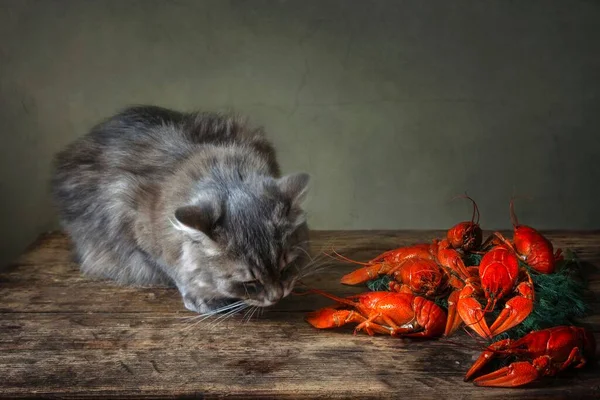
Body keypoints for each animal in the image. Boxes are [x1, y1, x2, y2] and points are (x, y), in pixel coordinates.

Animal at [50, 106, 310, 316]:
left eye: (286, 267)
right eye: (249, 281)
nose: (277, 296)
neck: (223, 176)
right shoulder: (137, 229)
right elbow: (173, 268)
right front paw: (199, 296)